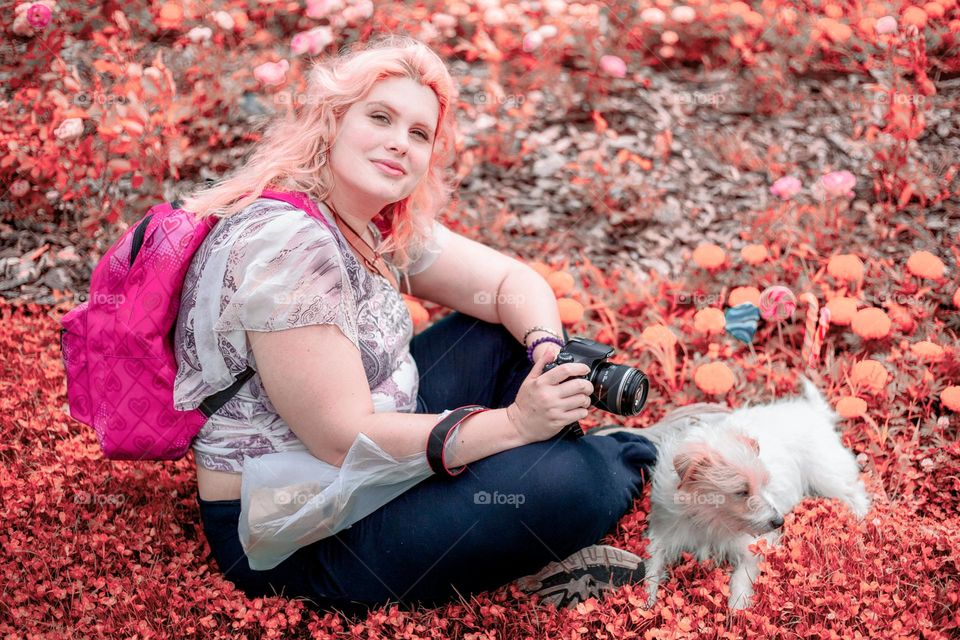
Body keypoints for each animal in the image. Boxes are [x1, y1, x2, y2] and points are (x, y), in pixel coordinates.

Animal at [628, 378, 872, 608]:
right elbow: (651, 567)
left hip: (825, 474)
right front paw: (645, 601)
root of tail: (813, 412)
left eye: (765, 483)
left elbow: (740, 579)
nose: (779, 521)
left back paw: (860, 521)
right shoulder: (662, 536)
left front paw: (737, 611)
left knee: (854, 491)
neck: (707, 517)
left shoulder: (751, 547)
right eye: (741, 492)